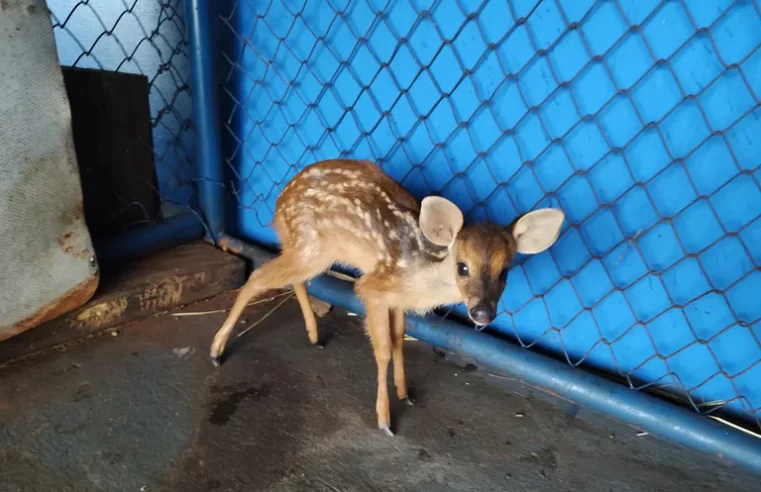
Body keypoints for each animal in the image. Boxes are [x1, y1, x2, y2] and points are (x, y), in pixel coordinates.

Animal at [211, 158, 560, 434]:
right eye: (463, 267)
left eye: (505, 272)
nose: (483, 313)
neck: (420, 272)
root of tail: (279, 201)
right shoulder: (374, 288)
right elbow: (383, 350)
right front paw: (385, 419)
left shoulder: (397, 298)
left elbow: (398, 339)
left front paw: (405, 393)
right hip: (312, 247)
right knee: (258, 277)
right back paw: (217, 351)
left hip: (307, 250)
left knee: (291, 277)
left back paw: (313, 335)